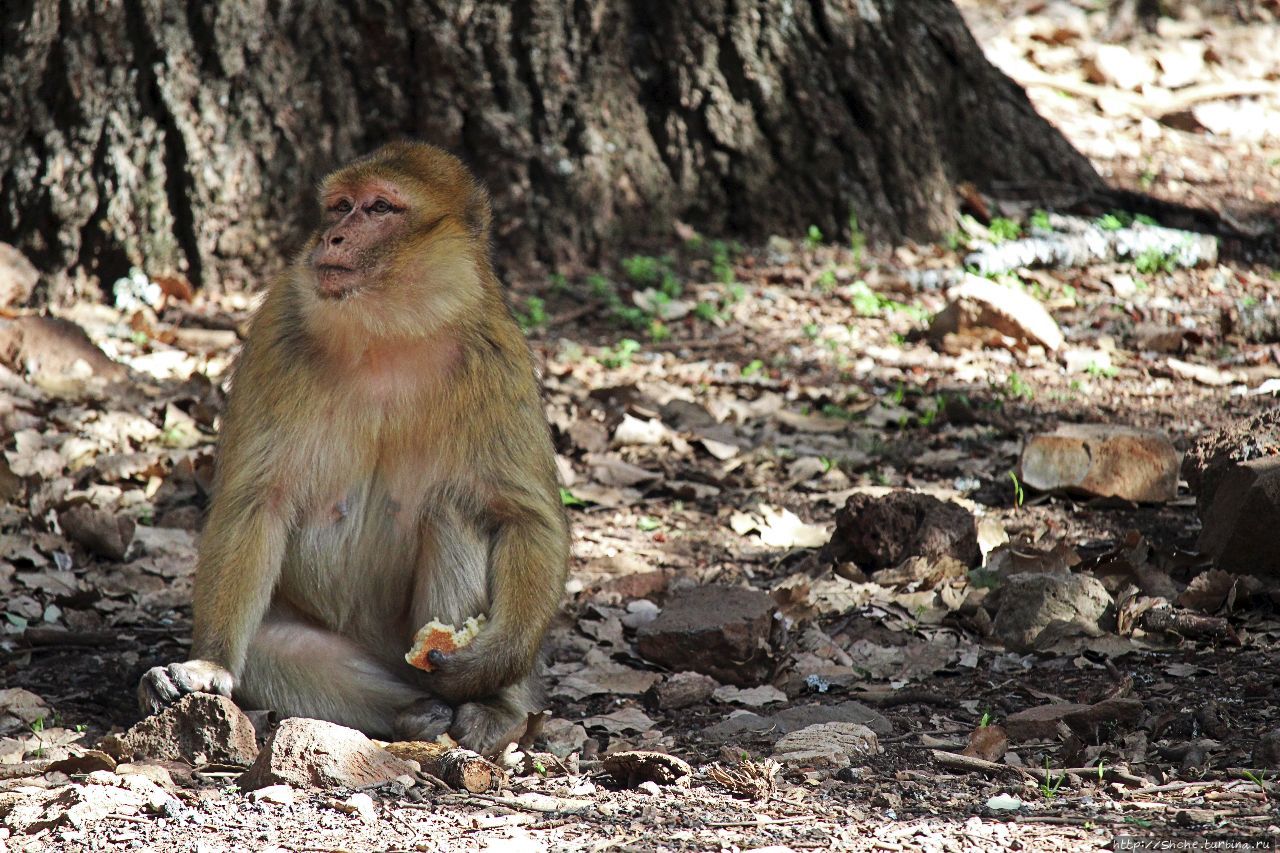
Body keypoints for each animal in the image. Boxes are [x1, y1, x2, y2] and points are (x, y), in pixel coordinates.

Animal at [138, 139, 570, 753]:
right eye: (341, 206)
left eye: (380, 208)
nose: (333, 237)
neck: (386, 331)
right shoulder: (279, 325)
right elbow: (257, 501)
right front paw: (208, 665)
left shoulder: (494, 347)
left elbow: (525, 516)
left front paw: (491, 663)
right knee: (275, 651)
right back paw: (414, 710)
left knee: (455, 512)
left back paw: (490, 708)